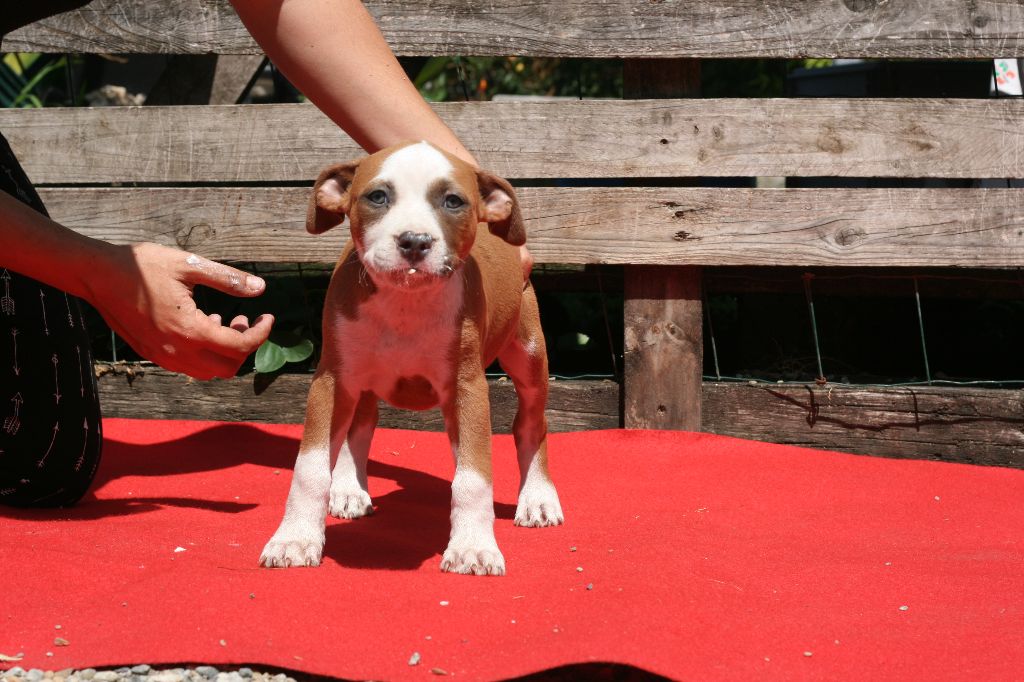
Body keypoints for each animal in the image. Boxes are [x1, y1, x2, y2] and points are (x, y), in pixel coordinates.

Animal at [256, 139, 561, 573]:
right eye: (377, 196)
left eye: (453, 201)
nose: (415, 241)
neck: (404, 302)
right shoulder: (331, 381)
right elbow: (310, 467)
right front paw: (295, 538)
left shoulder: (467, 388)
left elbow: (473, 475)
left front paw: (472, 546)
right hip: (361, 381)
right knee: (360, 424)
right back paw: (349, 489)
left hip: (529, 355)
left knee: (531, 423)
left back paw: (537, 499)